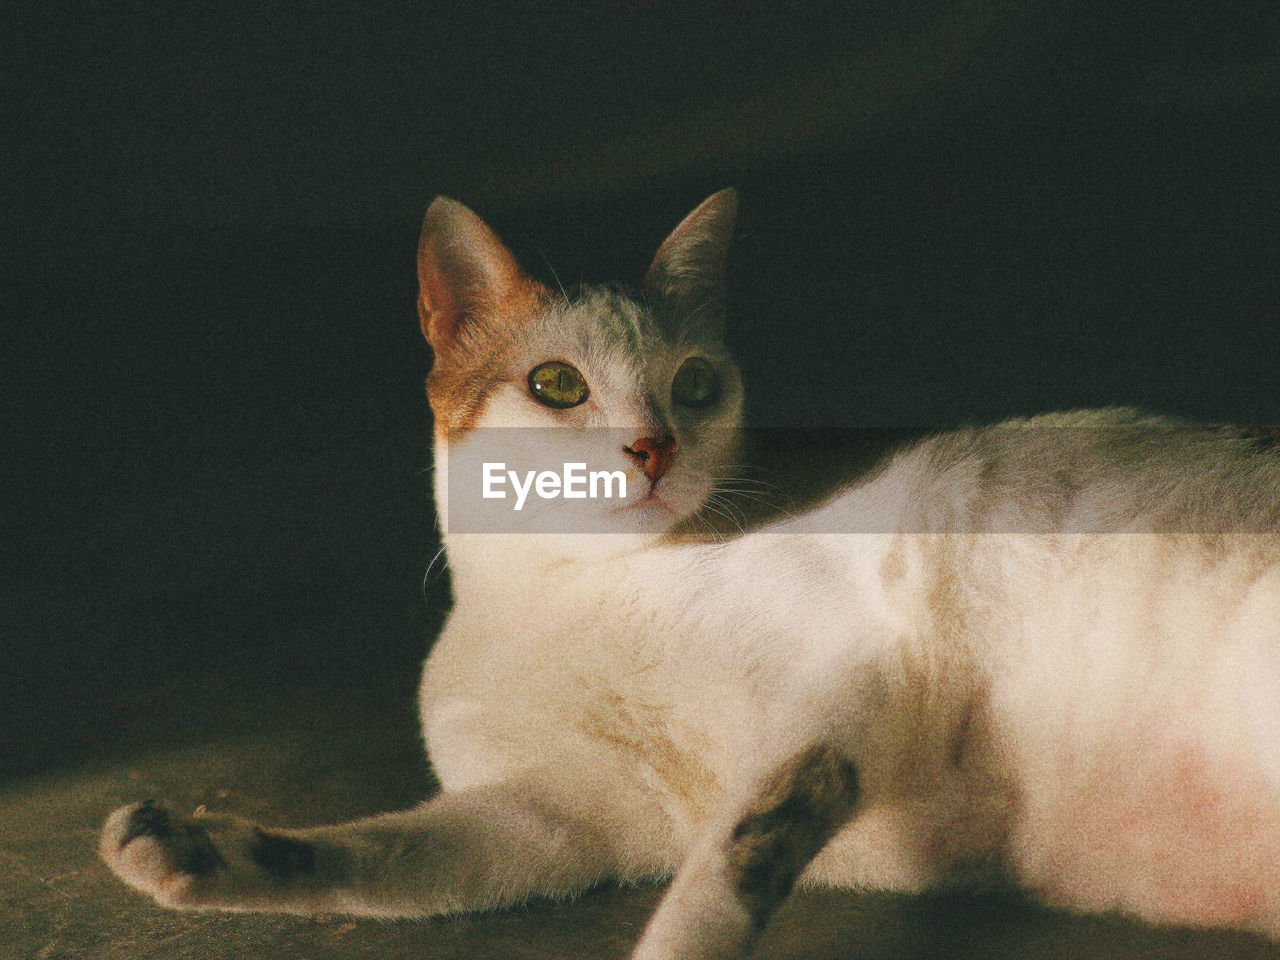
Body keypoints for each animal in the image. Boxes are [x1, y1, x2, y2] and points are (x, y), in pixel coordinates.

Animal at [99, 189, 1280, 960]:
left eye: (697, 386)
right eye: (557, 384)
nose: (654, 448)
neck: (568, 593)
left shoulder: (843, 684)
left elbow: (728, 864)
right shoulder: (559, 817)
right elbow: (385, 853)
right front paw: (194, 855)